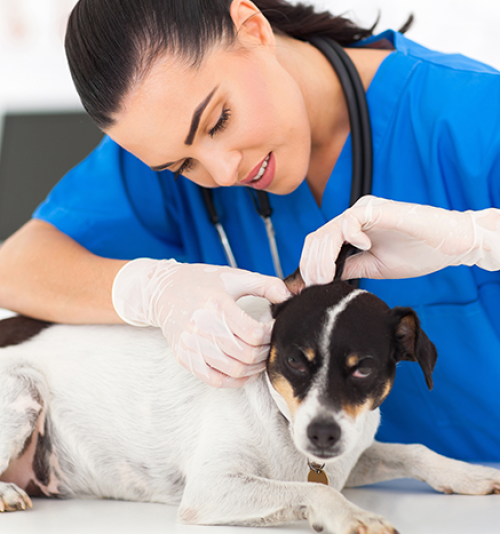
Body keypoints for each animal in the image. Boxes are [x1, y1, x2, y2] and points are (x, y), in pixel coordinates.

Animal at [0, 252, 500, 534]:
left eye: (364, 369)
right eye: (296, 360)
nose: (322, 435)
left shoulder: (350, 455)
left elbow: (412, 450)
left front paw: (467, 474)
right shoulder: (211, 488)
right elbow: (315, 492)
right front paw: (352, 515)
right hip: (25, 386)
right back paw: (7, 492)